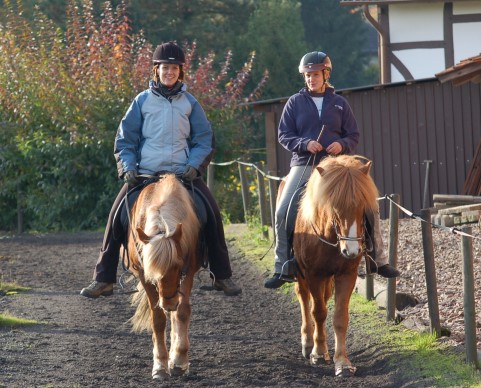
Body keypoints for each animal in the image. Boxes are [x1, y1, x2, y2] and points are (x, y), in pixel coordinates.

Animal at [125, 174, 201, 380]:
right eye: (153, 272)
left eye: (178, 264)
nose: (168, 302)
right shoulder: (144, 275)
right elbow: (158, 319)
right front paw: (160, 365)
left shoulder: (188, 271)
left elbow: (182, 312)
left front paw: (179, 361)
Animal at [292, 155, 378, 376]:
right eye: (334, 206)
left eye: (362, 206)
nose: (352, 250)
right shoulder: (313, 274)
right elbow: (319, 312)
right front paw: (318, 352)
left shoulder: (346, 274)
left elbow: (340, 317)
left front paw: (342, 362)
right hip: (301, 273)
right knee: (304, 299)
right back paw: (307, 343)